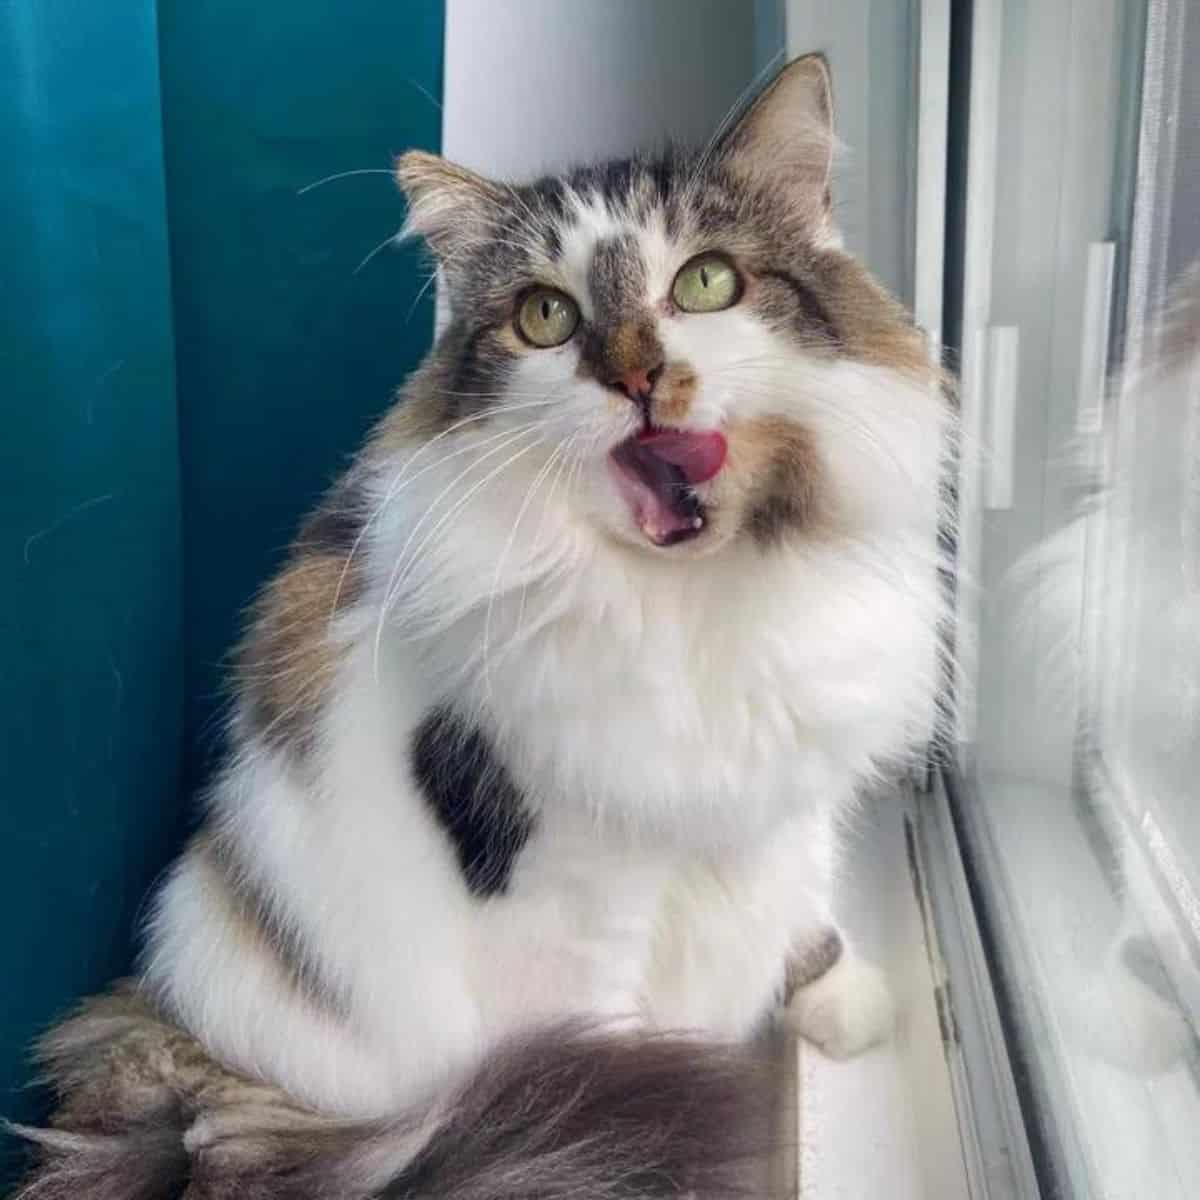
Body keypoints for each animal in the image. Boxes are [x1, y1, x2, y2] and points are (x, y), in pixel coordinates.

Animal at [9, 58, 945, 1200]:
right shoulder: (569, 890)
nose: (635, 376)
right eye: (547, 316)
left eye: (706, 284)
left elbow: (806, 903)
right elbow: (611, 1042)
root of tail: (173, 1051)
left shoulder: (783, 796)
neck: (692, 602)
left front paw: (842, 1000)